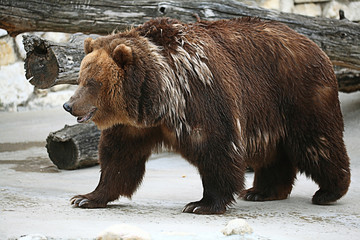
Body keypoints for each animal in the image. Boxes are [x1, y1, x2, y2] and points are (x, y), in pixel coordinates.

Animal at [63, 17, 350, 216]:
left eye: (93, 83)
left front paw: (201, 204)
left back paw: (329, 191)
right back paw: (261, 191)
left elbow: (216, 149)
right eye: (80, 78)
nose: (69, 105)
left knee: (317, 142)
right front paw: (86, 197)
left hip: (298, 94)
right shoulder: (133, 125)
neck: (159, 99)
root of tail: (316, 47)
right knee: (273, 153)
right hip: (268, 115)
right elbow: (118, 159)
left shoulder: (201, 96)